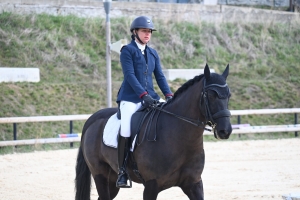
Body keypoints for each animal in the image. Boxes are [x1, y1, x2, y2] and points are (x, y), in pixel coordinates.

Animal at [75, 64, 232, 200]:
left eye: (228, 95)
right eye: (210, 95)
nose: (225, 130)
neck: (179, 138)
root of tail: (93, 118)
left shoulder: (193, 183)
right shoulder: (151, 185)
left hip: (112, 180)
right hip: (100, 174)